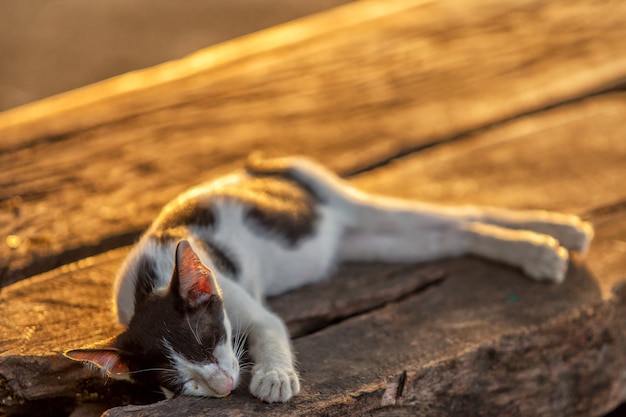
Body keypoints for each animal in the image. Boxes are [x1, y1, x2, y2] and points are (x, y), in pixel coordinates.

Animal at [63, 154, 588, 404]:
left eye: (210, 340)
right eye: (179, 382)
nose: (225, 387)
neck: (146, 282)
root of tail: (260, 165)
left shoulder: (234, 294)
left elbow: (270, 328)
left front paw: (274, 377)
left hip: (334, 193)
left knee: (456, 213)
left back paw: (553, 238)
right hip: (369, 243)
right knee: (452, 234)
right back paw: (542, 247)